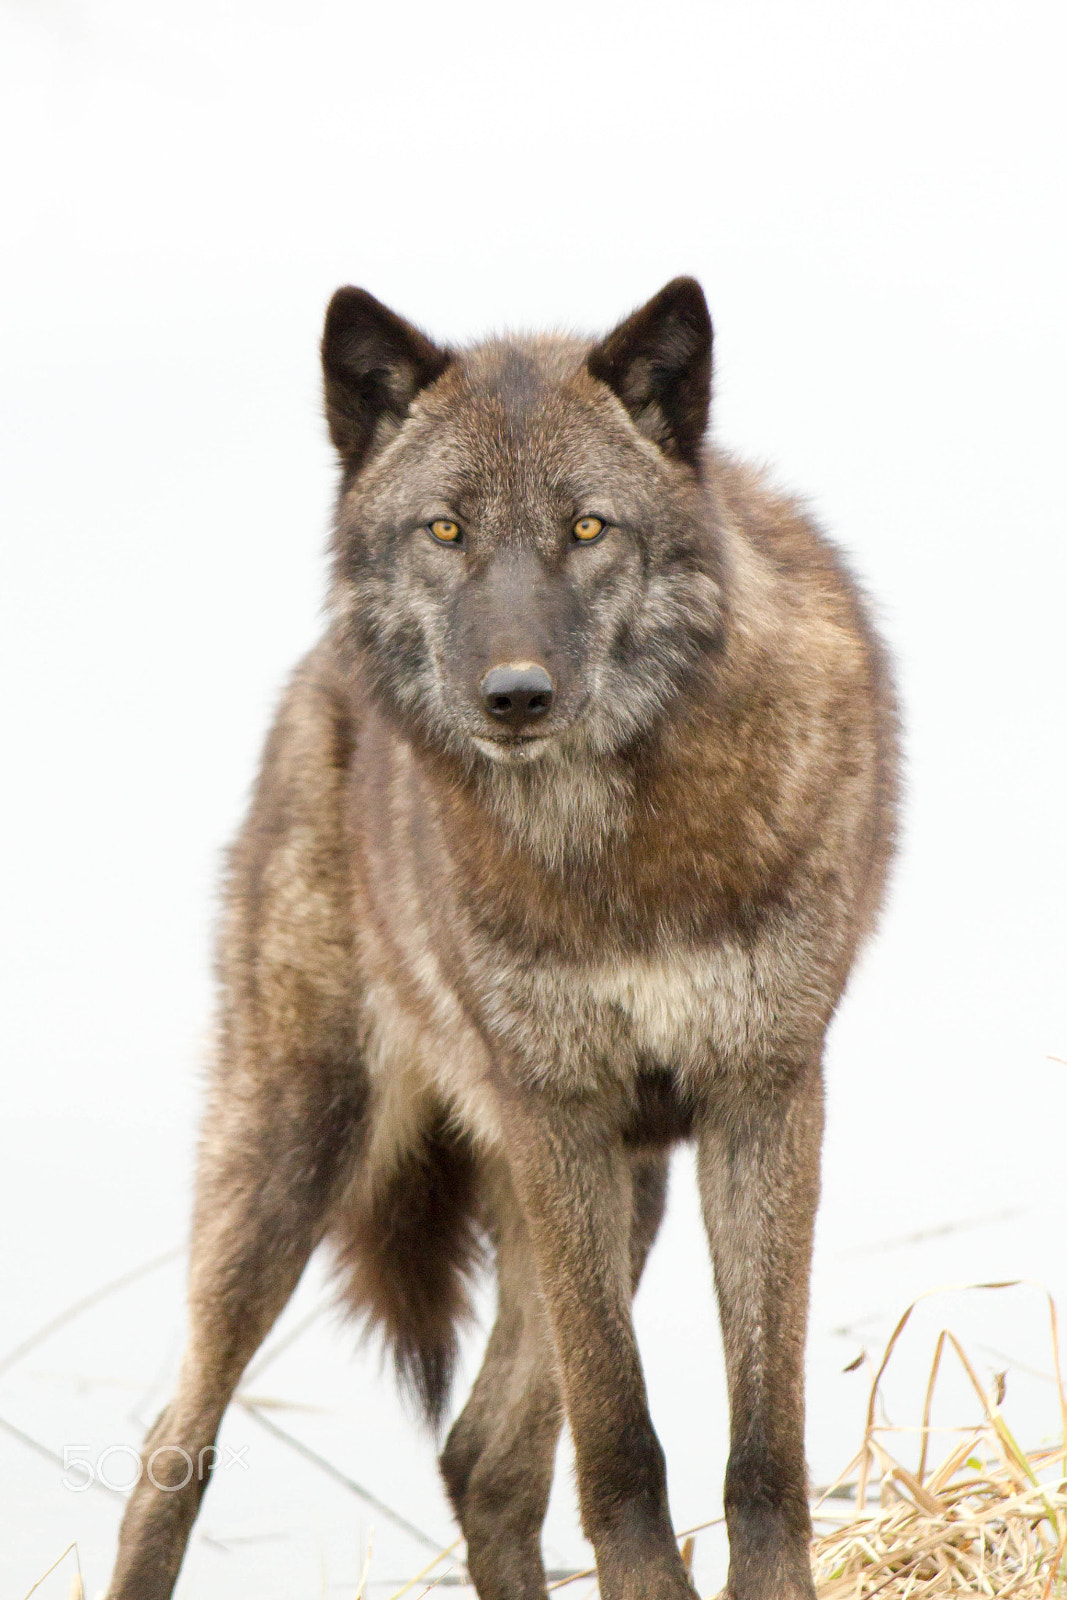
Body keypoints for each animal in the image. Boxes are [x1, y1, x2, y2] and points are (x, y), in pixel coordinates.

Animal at [106, 278, 898, 1600]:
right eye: (443, 531)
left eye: (586, 529)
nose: (514, 696)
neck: (615, 855)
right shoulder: (554, 1111)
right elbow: (621, 1444)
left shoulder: (763, 1096)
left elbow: (762, 1446)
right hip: (295, 1154)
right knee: (174, 1449)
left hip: (623, 1185)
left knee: (483, 1459)